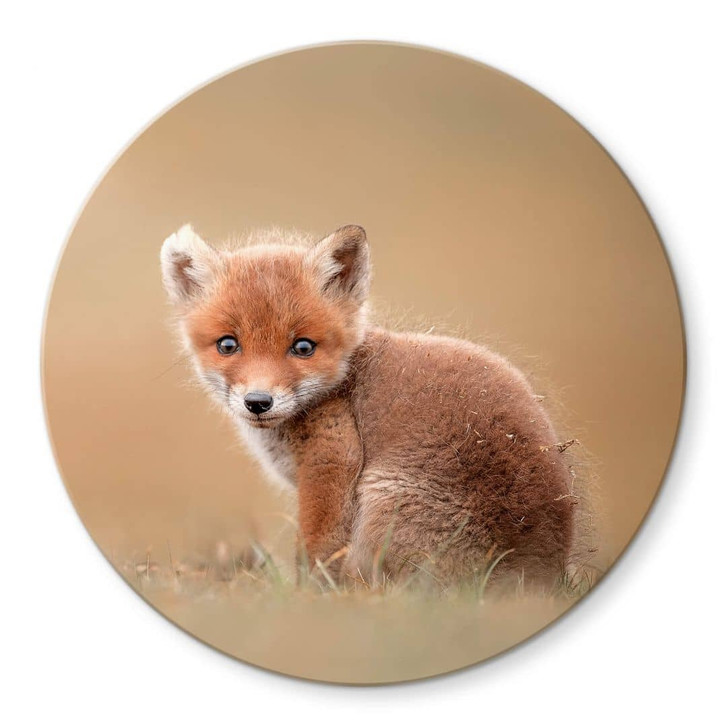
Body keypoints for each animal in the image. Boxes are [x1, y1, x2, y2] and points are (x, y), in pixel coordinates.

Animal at [161, 223, 578, 589]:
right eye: (228, 345)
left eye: (303, 347)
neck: (343, 382)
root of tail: (538, 575)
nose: (258, 402)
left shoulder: (332, 461)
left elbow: (316, 552)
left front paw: (307, 600)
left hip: (382, 501)